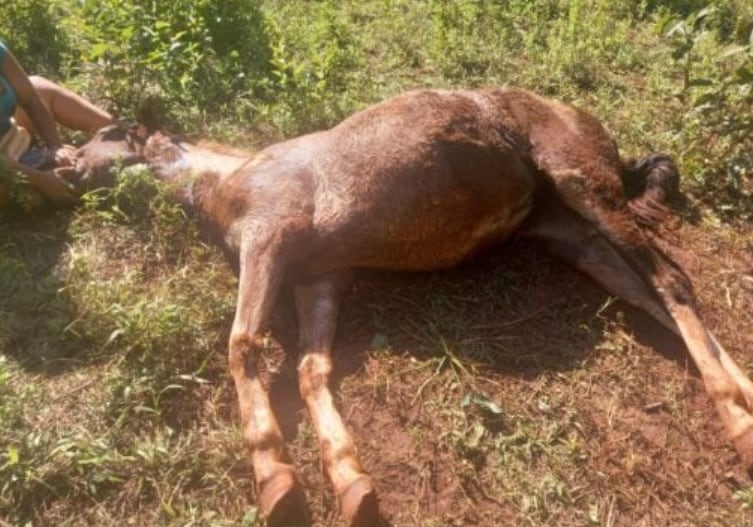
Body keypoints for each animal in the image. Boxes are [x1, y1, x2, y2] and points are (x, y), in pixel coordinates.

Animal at [57, 87, 752, 527]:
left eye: (107, 133)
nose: (62, 164)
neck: (226, 179)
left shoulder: (270, 239)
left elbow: (243, 346)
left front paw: (274, 477)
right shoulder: (319, 279)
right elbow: (311, 372)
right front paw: (350, 484)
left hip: (586, 186)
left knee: (671, 282)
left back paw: (738, 425)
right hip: (572, 234)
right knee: (646, 294)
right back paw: (744, 400)